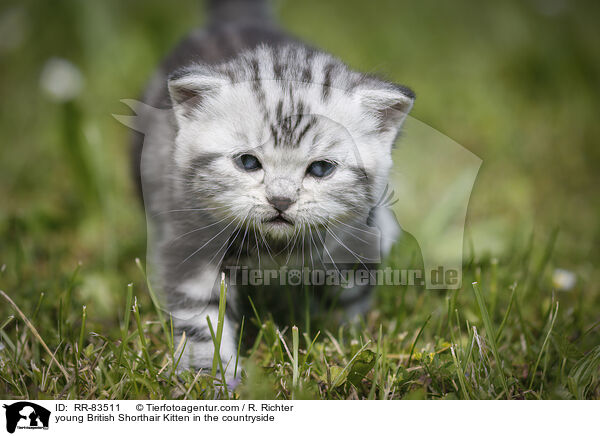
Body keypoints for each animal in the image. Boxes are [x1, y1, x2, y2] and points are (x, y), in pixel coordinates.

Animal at [131, 0, 412, 376]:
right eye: (248, 163)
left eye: (320, 169)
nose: (281, 200)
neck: (276, 250)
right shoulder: (190, 242)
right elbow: (202, 320)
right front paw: (210, 376)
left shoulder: (353, 238)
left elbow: (350, 297)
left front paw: (349, 344)